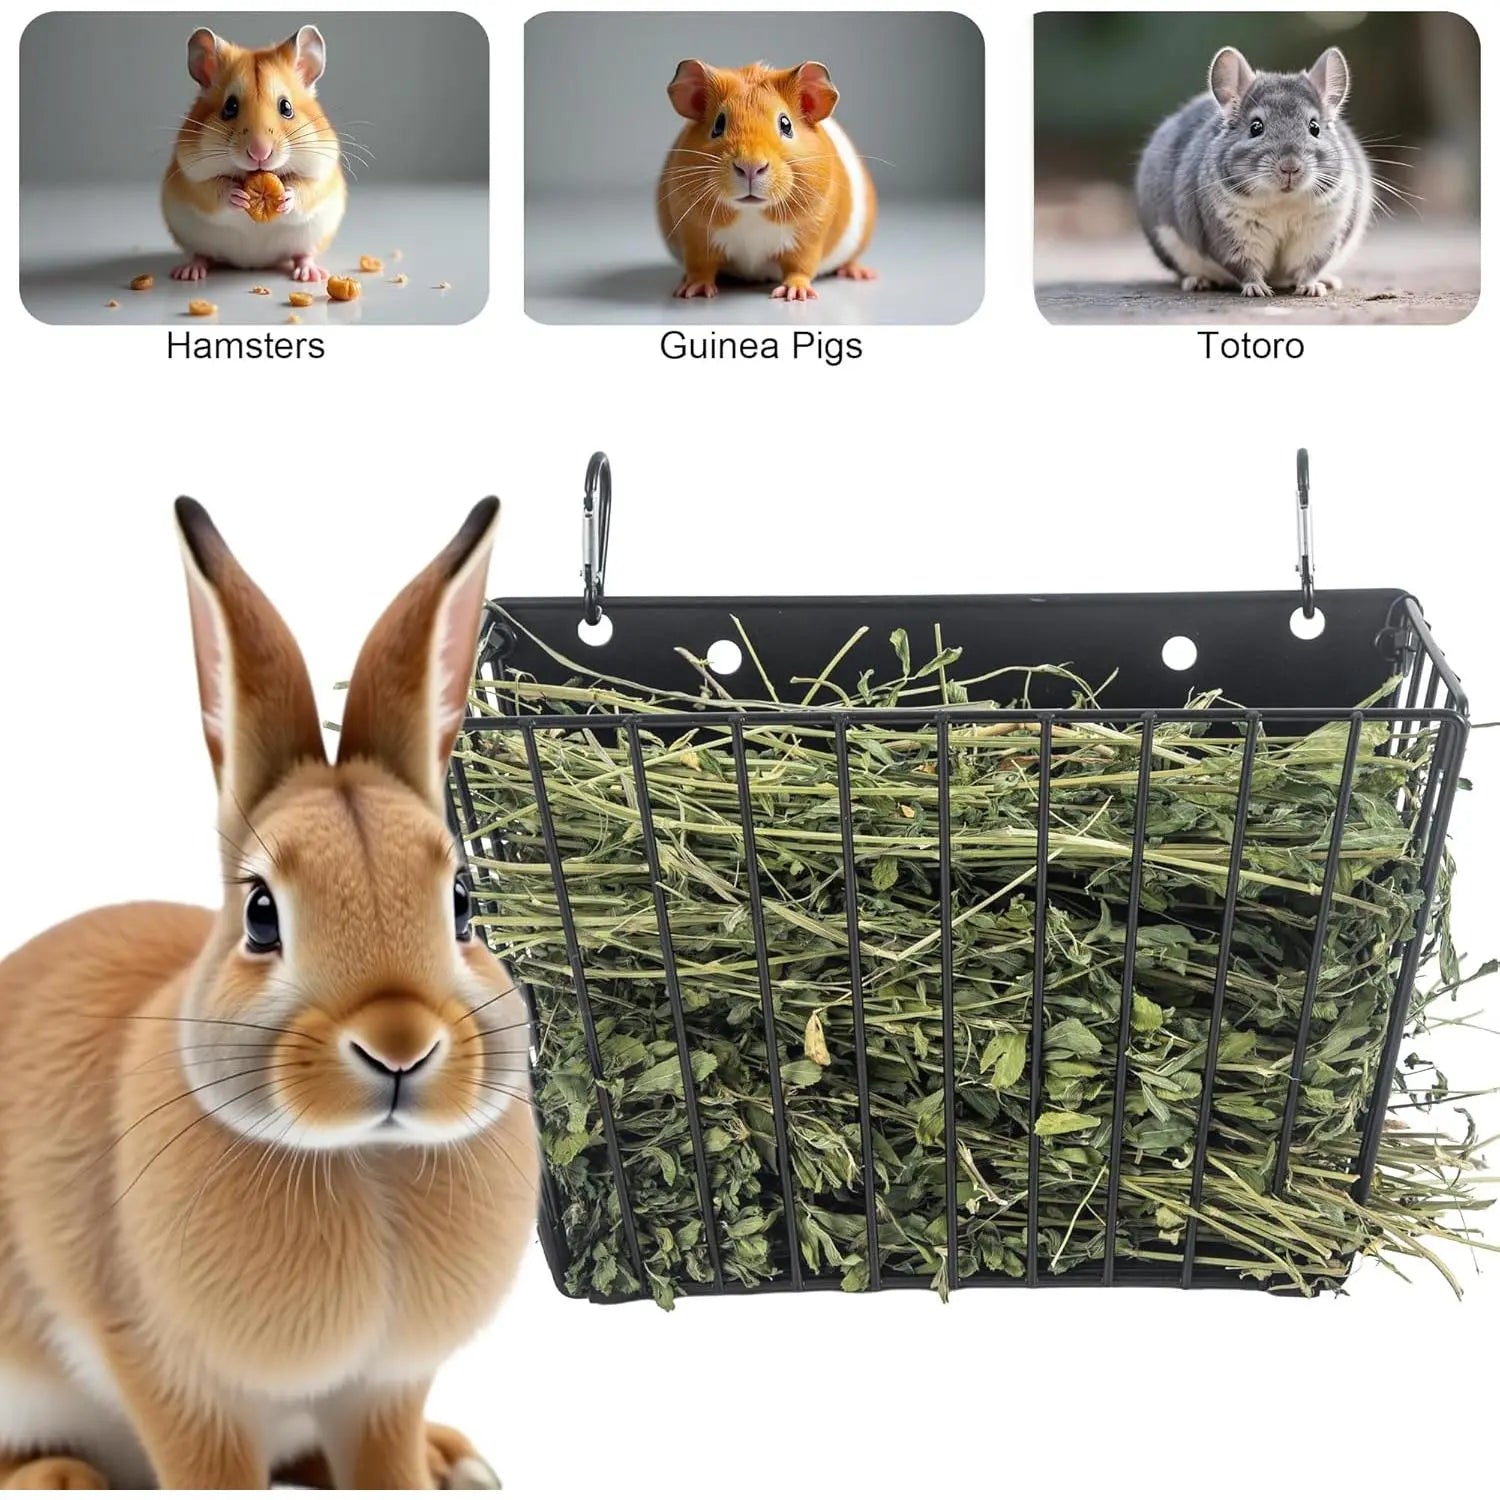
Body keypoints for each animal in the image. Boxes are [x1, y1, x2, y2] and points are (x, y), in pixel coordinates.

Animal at [0, 498, 535, 1488]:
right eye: (260, 915)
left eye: (461, 904)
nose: (398, 1045)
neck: (367, 1162)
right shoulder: (169, 1372)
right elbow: (209, 1467)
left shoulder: (384, 1389)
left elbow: (383, 1457)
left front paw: (416, 1476)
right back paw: (60, 1477)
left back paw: (456, 1460)